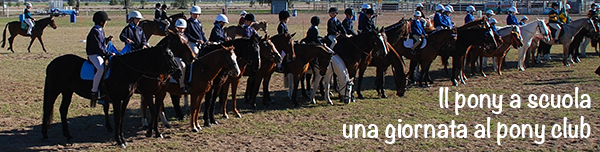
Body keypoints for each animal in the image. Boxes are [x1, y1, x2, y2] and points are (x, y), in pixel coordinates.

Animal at [41, 36, 182, 148]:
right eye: (169, 56)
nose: (179, 72)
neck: (125, 69)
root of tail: (52, 63)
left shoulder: (127, 98)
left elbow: (122, 119)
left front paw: (124, 140)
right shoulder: (118, 99)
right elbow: (118, 119)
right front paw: (119, 141)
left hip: (67, 91)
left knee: (63, 110)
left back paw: (68, 135)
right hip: (54, 91)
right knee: (48, 108)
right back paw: (45, 135)